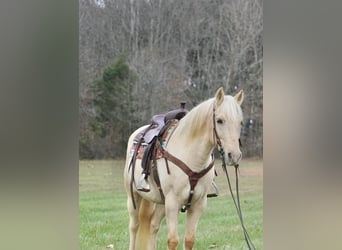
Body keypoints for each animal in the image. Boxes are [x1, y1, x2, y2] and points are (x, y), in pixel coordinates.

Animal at [123, 87, 243, 249]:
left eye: (240, 122)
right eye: (219, 120)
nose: (234, 156)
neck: (191, 157)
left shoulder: (198, 204)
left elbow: (190, 239)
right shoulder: (173, 203)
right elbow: (173, 240)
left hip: (161, 201)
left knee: (153, 226)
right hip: (134, 197)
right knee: (134, 227)